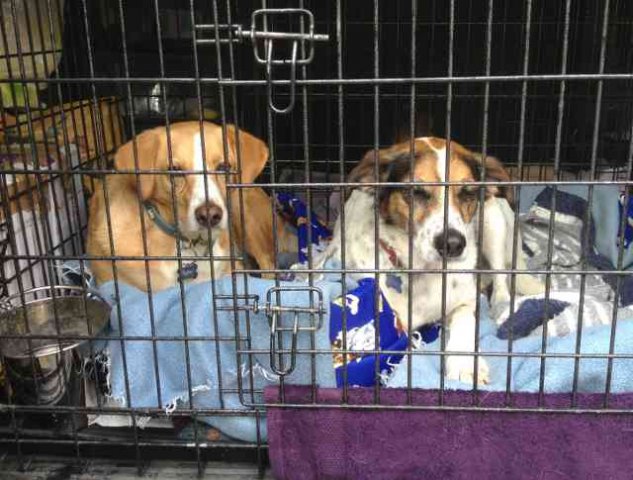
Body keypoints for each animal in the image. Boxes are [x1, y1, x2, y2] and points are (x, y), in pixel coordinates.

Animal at [318, 137, 540, 384]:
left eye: (468, 193)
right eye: (415, 192)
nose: (453, 244)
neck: (420, 269)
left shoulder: (465, 301)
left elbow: (465, 321)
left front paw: (465, 362)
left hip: (494, 222)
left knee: (501, 278)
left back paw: (501, 305)